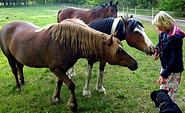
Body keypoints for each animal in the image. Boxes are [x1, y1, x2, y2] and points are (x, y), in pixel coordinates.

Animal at [0, 19, 137, 111]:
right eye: (118, 51)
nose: (135, 63)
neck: (66, 43)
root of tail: (5, 26)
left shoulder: (62, 69)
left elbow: (60, 83)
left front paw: (56, 98)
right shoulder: (56, 69)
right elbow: (71, 84)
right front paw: (73, 104)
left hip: (18, 57)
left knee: (20, 67)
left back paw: (22, 81)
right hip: (9, 57)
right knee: (14, 70)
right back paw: (18, 86)